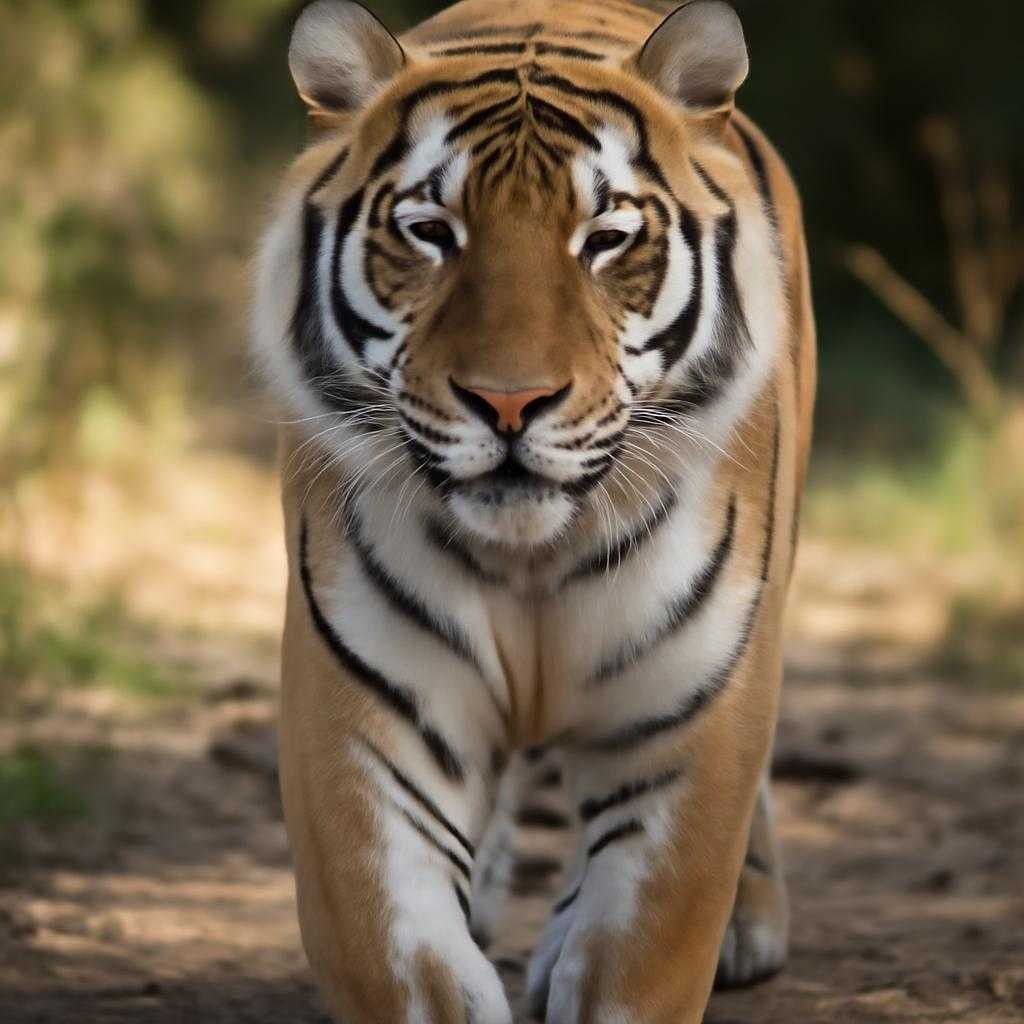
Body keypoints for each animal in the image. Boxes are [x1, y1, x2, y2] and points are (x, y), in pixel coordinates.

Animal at [252, 0, 816, 1020]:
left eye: (605, 238)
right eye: (431, 231)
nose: (509, 403)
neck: (531, 562)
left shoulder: (694, 720)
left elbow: (638, 956)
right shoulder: (362, 721)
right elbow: (406, 961)